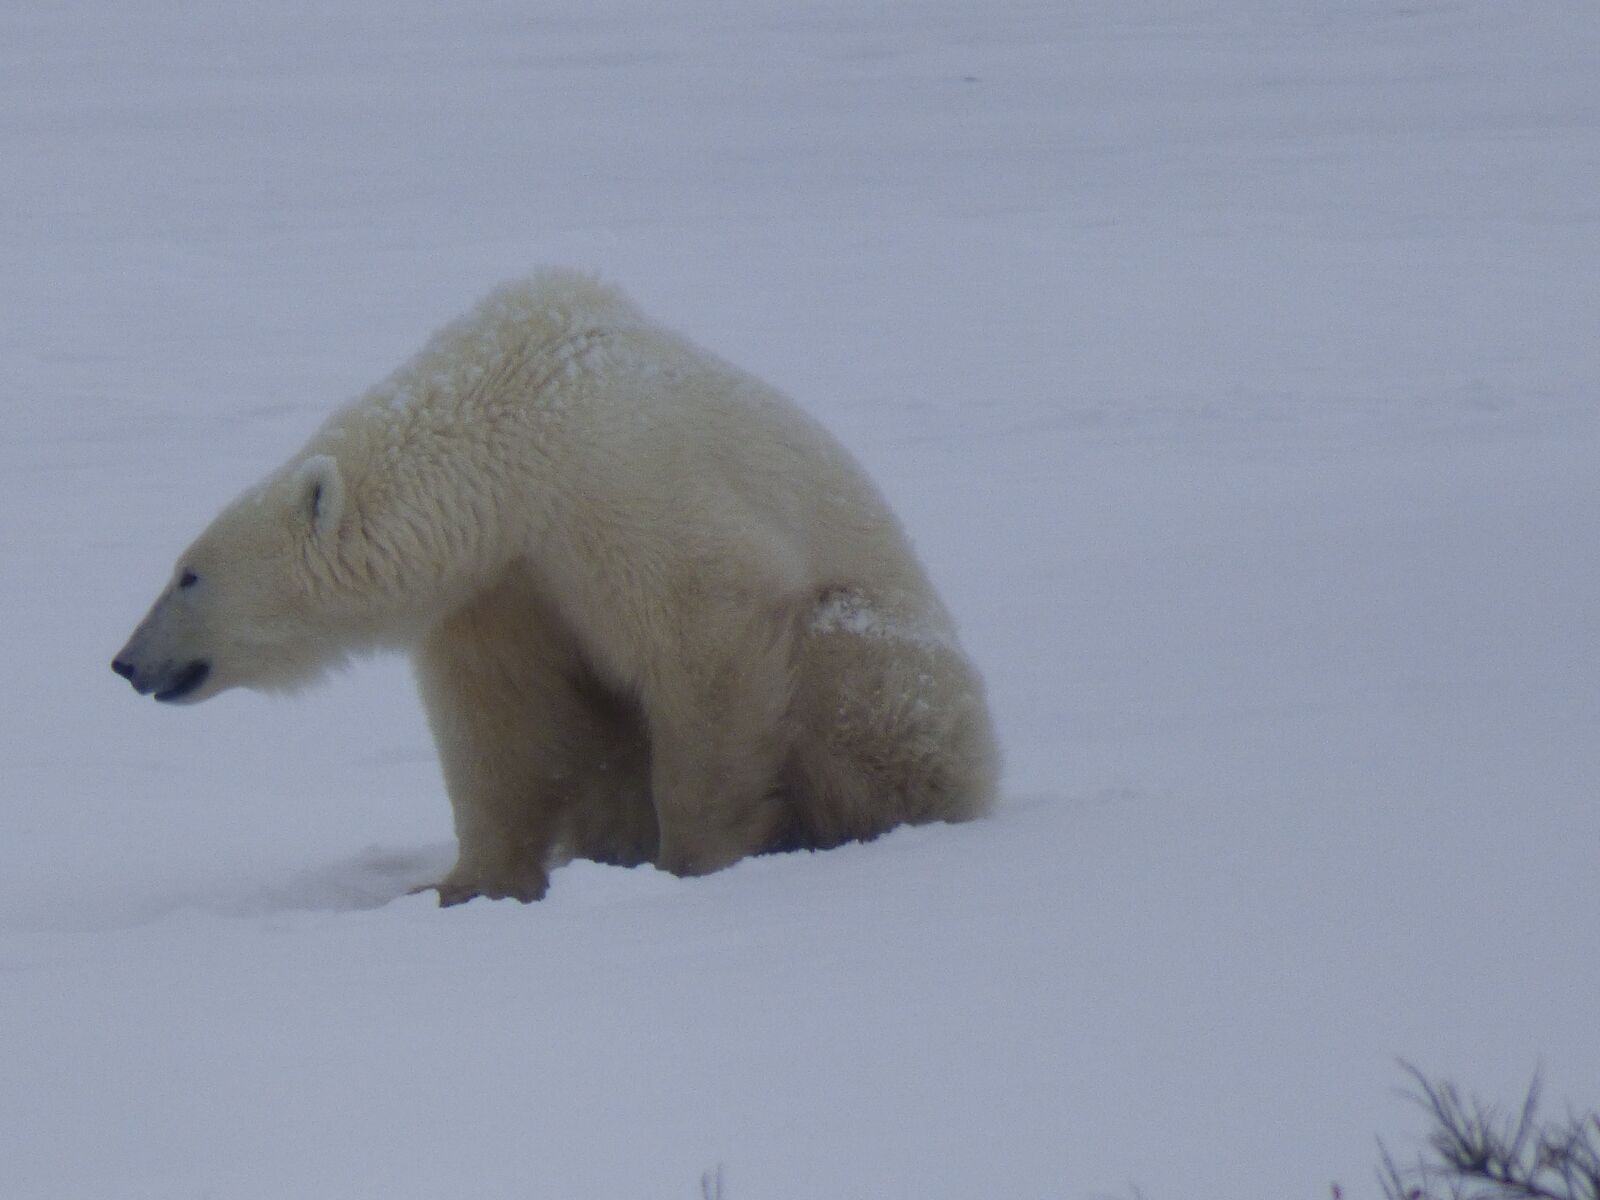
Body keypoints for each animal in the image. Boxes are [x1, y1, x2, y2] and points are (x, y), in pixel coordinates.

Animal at [109, 270, 998, 902]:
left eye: (188, 575)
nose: (125, 662)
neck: (517, 417)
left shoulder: (624, 486)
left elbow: (709, 637)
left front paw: (693, 859)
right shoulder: (500, 578)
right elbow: (501, 722)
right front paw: (462, 884)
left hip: (896, 666)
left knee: (849, 662)